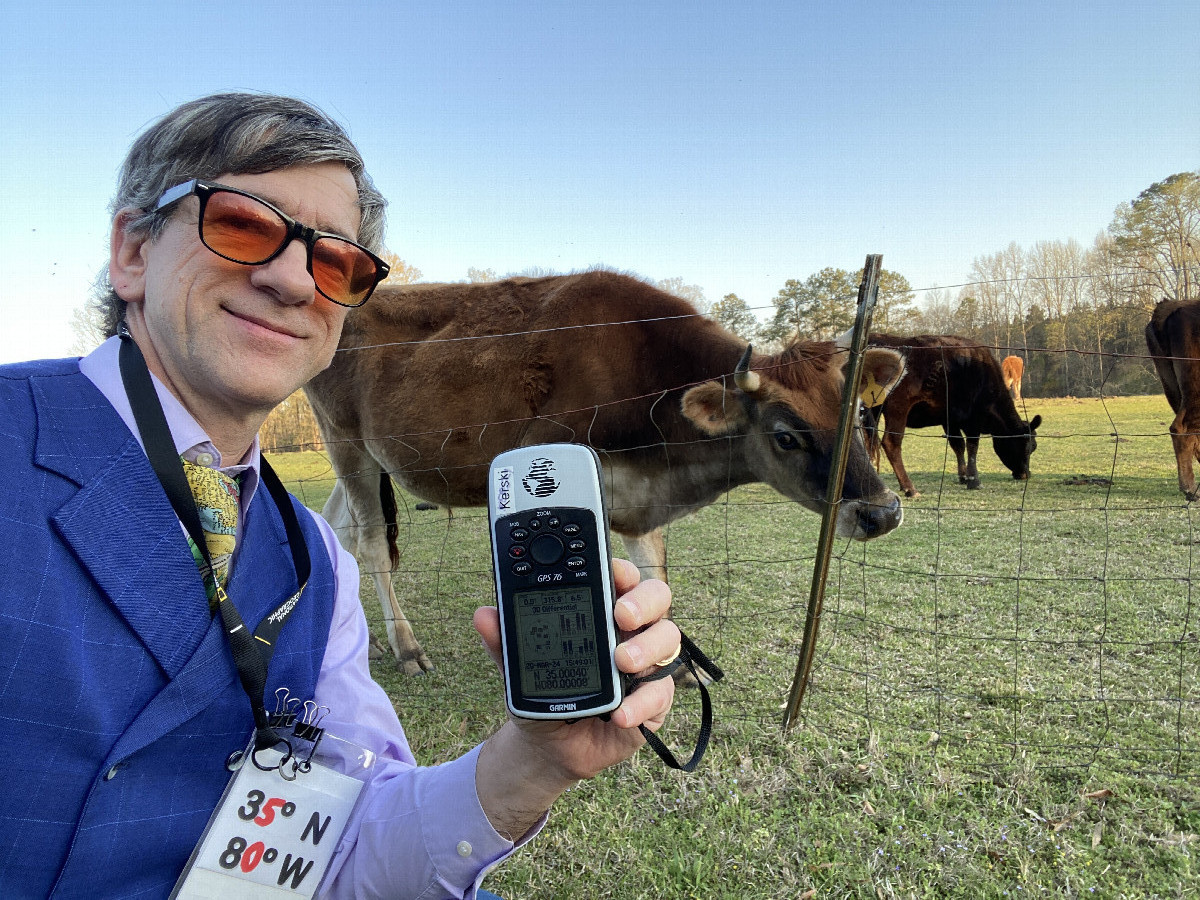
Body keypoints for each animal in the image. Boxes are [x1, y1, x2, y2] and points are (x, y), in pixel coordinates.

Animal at [304, 271, 902, 672]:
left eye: (859, 413)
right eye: (785, 436)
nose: (882, 512)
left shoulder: (640, 502)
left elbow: (653, 572)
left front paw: (670, 659)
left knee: (338, 529)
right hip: (347, 443)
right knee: (372, 544)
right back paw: (406, 648)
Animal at [864, 336, 1041, 501]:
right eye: (1028, 447)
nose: (1025, 474)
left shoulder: (950, 419)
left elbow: (958, 445)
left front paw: (963, 476)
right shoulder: (973, 419)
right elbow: (972, 447)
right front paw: (974, 480)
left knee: (869, 442)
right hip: (898, 408)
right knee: (891, 443)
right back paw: (910, 488)